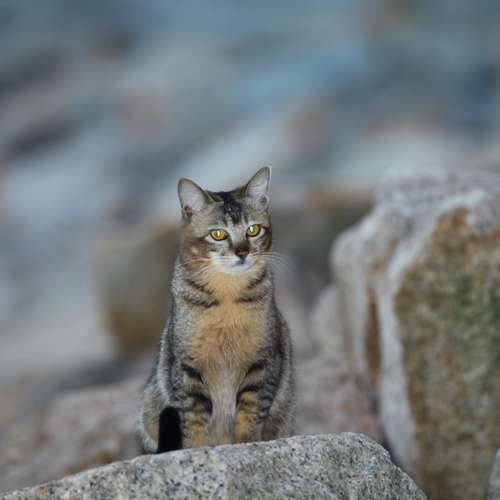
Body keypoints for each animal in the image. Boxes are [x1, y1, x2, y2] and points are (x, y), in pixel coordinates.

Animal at [137, 166, 294, 453]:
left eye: (253, 230)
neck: (227, 300)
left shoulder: (263, 361)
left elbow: (250, 412)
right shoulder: (187, 368)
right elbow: (193, 419)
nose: (242, 252)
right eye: (218, 234)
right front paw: (195, 449)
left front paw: (246, 443)